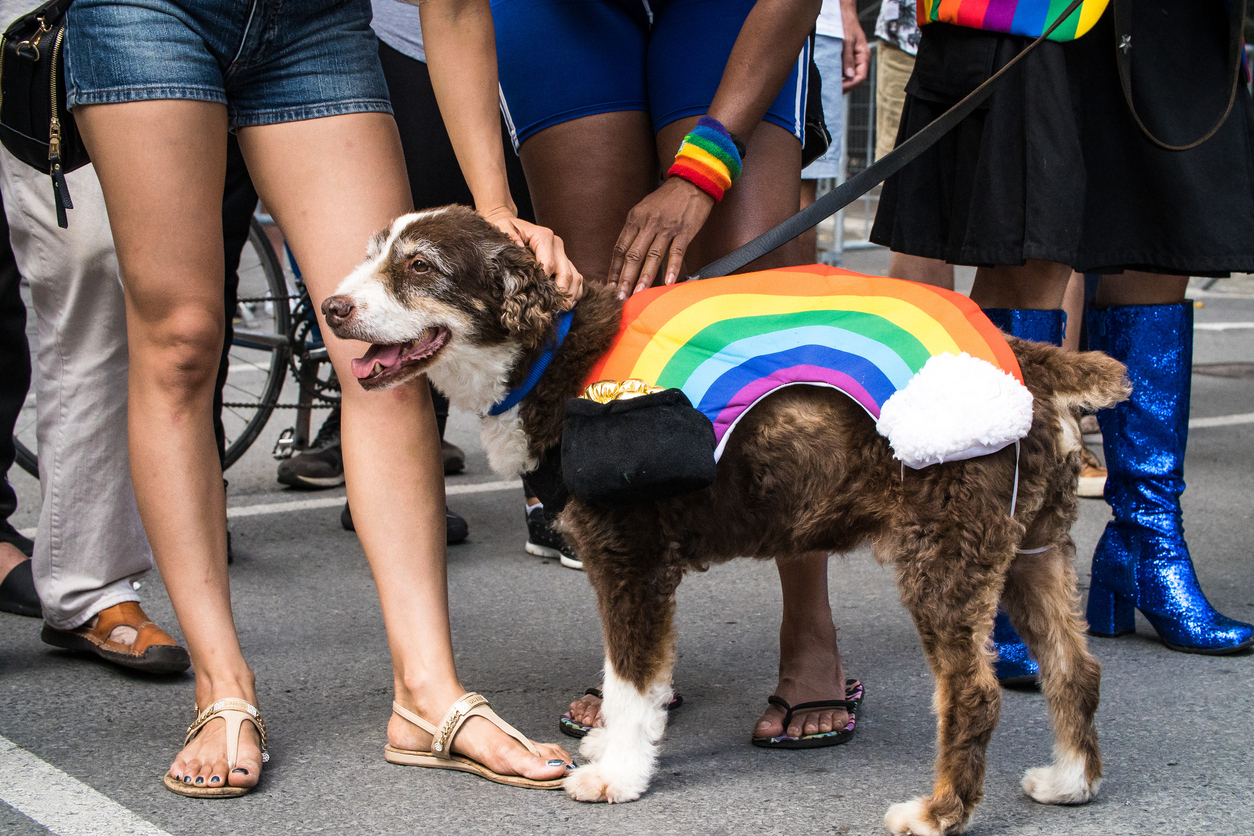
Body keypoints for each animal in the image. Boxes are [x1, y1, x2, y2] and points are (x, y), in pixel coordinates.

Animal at [326, 204, 1138, 836]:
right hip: (1033, 550)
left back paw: (938, 813)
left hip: (944, 556)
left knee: (973, 695)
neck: (555, 355)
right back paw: (1071, 782)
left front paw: (617, 776)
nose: (333, 308)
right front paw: (618, 750)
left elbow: (630, 682)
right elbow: (636, 684)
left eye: (420, 266)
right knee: (1077, 668)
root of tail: (1029, 360)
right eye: (372, 254)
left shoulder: (630, 560)